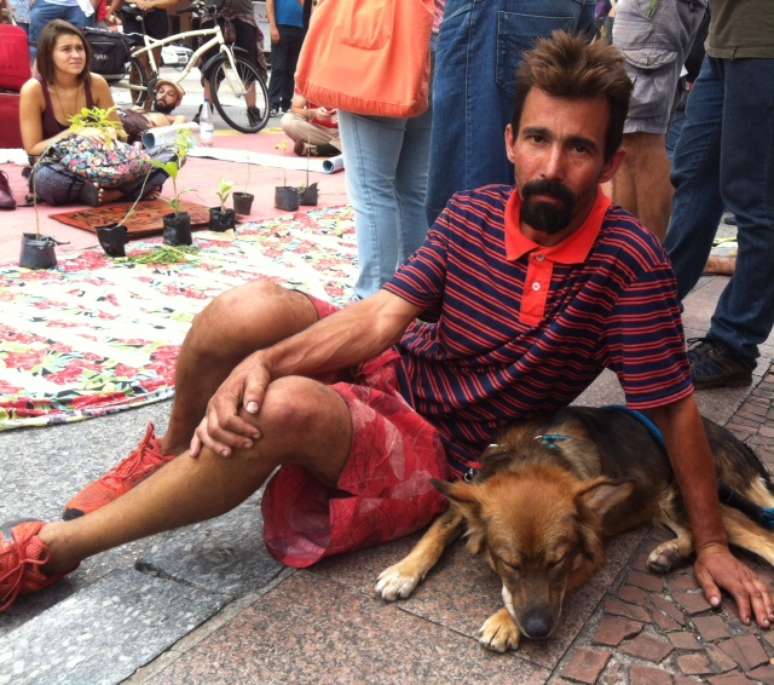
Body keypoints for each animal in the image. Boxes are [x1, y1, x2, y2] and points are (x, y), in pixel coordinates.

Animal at [376, 406, 774, 652]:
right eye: (509, 564)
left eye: (558, 562)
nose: (537, 631)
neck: (532, 456)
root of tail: (717, 431)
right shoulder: (471, 488)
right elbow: (438, 528)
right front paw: (403, 570)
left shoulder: (591, 555)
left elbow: (556, 590)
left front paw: (505, 621)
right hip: (664, 501)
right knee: (694, 534)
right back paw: (668, 553)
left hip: (702, 498)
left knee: (760, 536)